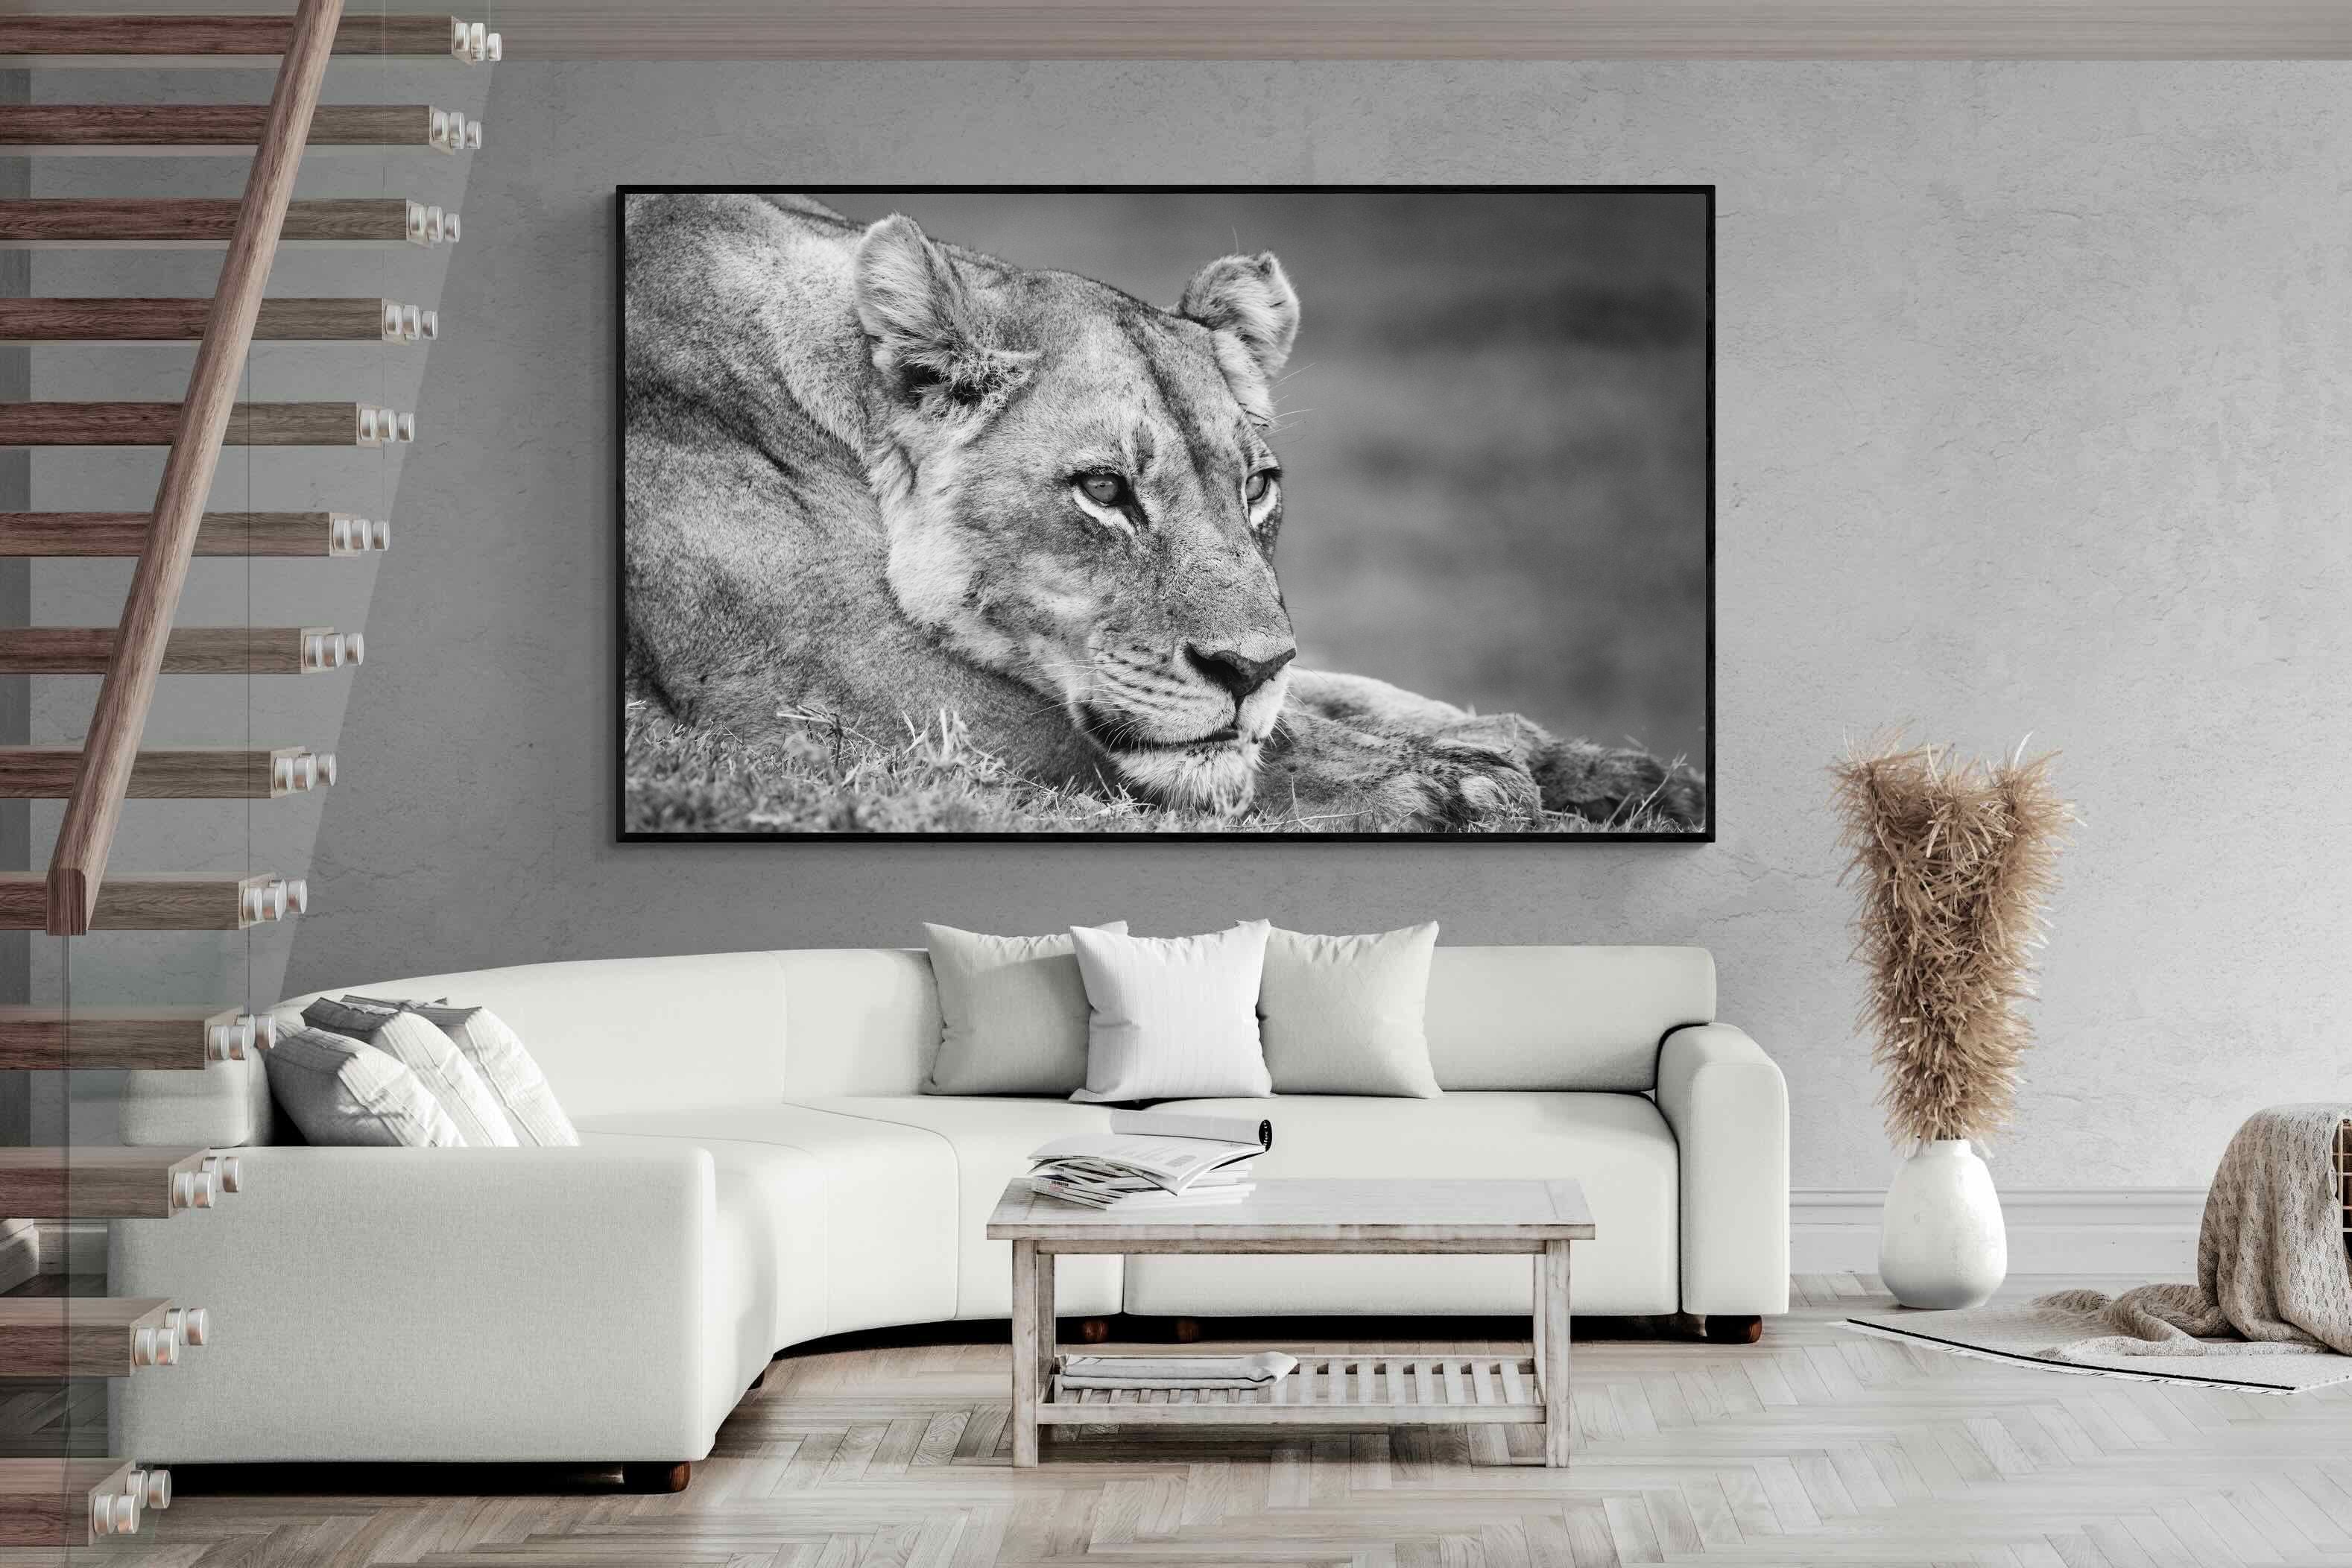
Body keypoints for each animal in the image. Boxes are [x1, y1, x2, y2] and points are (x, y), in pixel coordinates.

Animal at [624, 193, 1704, 832]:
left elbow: (1350, 697)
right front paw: (1456, 787)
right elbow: (1214, 749)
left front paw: (1614, 771)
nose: (1247, 670)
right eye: (1104, 491)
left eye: (1256, 486)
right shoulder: (829, 689)